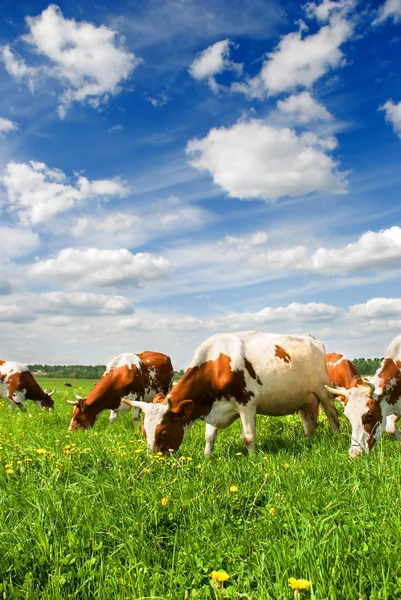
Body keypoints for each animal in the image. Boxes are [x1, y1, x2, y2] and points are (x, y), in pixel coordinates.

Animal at [123, 332, 340, 454]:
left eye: (163, 432)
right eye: (144, 432)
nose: (154, 459)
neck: (216, 365)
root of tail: (312, 339)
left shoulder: (247, 404)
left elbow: (248, 437)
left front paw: (253, 459)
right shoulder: (213, 407)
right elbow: (209, 437)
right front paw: (207, 458)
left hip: (323, 389)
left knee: (332, 415)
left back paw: (337, 438)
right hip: (304, 398)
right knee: (308, 421)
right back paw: (309, 442)